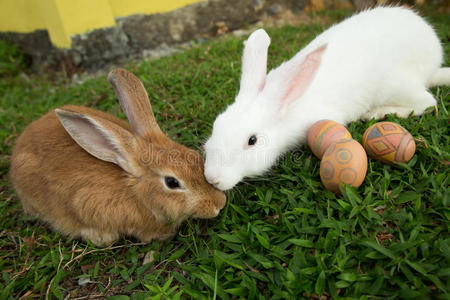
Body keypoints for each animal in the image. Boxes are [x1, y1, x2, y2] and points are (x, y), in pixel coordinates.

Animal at [205, 6, 450, 190]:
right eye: (216, 125)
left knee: (427, 102)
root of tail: (434, 61)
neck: (288, 106)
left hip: (396, 85)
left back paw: (378, 112)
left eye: (252, 140)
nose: (211, 178)